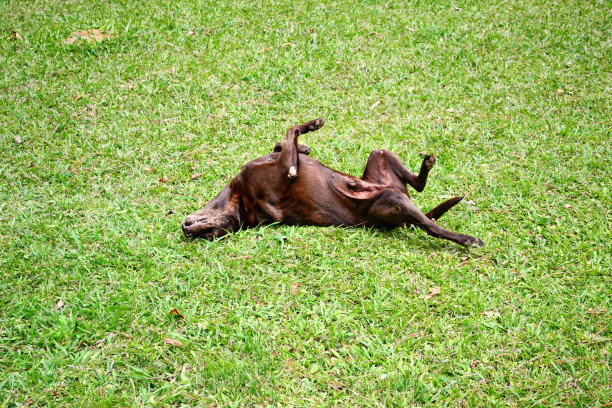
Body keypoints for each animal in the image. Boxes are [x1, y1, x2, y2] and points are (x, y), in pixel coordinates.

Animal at [182, 117, 482, 245]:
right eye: (209, 236)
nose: (186, 229)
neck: (240, 202)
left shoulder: (277, 159)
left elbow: (284, 140)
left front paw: (305, 144)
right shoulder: (282, 167)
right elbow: (290, 133)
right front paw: (309, 130)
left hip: (380, 155)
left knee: (418, 184)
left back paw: (426, 165)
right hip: (392, 200)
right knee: (430, 226)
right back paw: (466, 239)